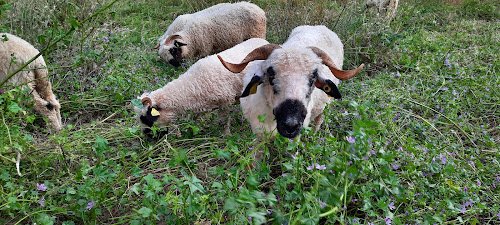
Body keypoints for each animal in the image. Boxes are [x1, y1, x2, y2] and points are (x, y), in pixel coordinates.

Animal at [134, 37, 270, 133]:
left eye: (146, 118)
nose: (146, 134)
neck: (194, 84)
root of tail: (262, 40)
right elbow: (193, 119)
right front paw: (190, 131)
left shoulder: (226, 102)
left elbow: (225, 121)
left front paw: (226, 135)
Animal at [219, 25, 364, 140]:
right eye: (271, 74)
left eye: (313, 77)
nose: (290, 125)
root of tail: (320, 26)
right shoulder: (258, 130)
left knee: (319, 120)